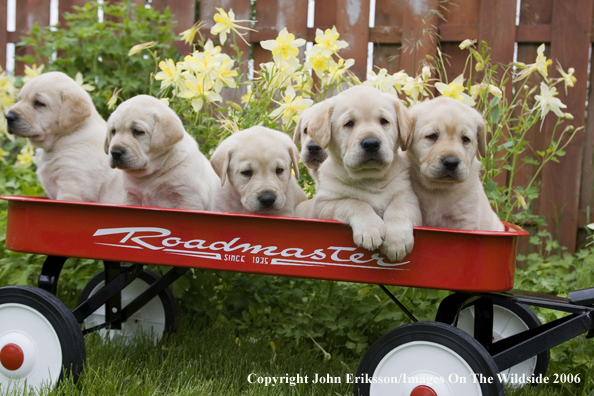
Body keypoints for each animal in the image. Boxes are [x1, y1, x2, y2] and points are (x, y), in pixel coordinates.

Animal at [306, 85, 420, 262]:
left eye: (383, 121)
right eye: (349, 123)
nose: (371, 143)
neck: (370, 179)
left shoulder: (409, 199)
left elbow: (399, 207)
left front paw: (397, 240)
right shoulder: (323, 205)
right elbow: (355, 203)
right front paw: (370, 229)